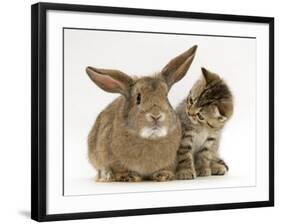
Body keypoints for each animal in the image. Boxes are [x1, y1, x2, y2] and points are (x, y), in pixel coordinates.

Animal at [85, 45, 197, 182]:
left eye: (166, 97)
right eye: (138, 98)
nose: (156, 116)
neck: (151, 138)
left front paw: (164, 175)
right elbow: (117, 169)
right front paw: (129, 176)